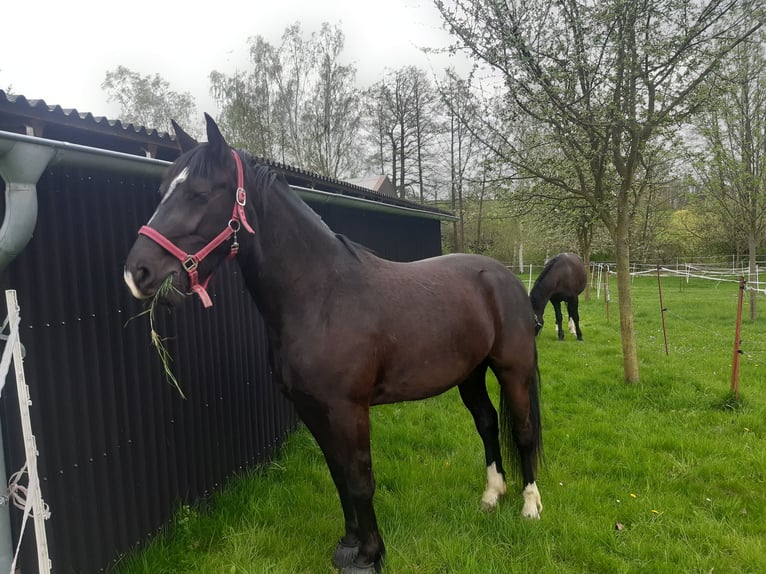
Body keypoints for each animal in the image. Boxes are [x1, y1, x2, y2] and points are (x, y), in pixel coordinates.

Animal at [123, 114, 543, 573]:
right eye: (163, 190)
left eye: (199, 193)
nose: (137, 273)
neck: (320, 296)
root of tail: (503, 277)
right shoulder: (311, 407)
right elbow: (339, 475)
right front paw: (349, 544)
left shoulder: (348, 409)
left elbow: (359, 480)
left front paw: (371, 555)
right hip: (470, 373)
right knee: (487, 423)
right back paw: (491, 495)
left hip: (513, 370)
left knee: (522, 430)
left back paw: (530, 506)